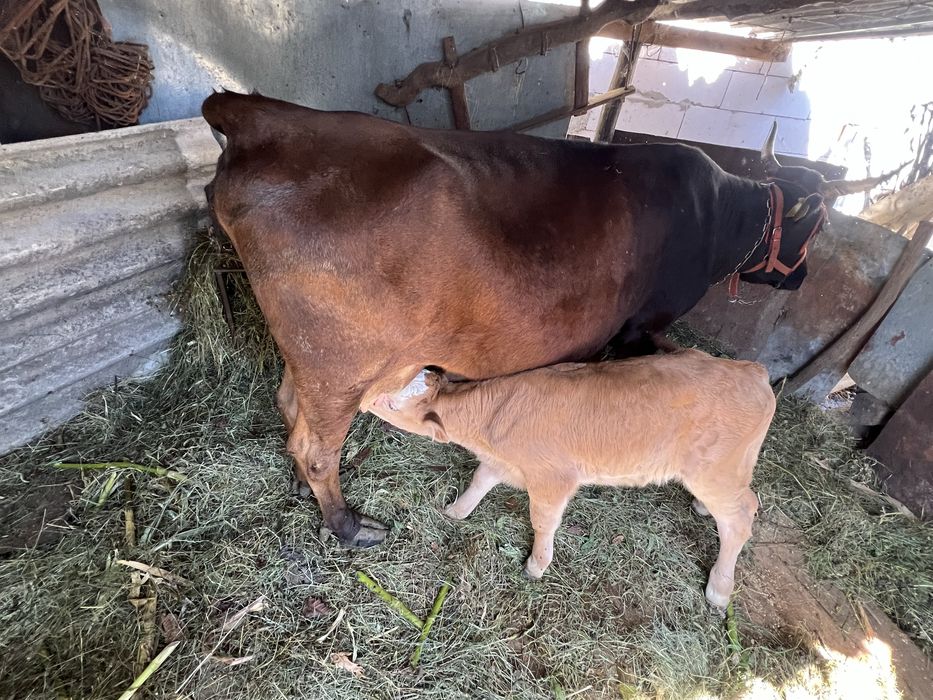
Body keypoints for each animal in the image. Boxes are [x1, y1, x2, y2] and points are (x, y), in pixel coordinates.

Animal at [201, 91, 888, 547]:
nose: (800, 278)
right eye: (815, 223)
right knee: (316, 447)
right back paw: (347, 524)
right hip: (342, 359)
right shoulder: (640, 326)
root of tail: (259, 114)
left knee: (291, 410)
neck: (716, 215)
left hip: (313, 358)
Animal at [365, 350, 776, 607]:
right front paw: (456, 511)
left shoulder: (552, 477)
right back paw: (702, 508)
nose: (361, 395)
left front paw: (536, 565)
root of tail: (750, 370)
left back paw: (718, 588)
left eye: (391, 402)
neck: (490, 419)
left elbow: (543, 521)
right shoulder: (504, 462)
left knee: (742, 515)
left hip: (713, 471)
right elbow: (480, 480)